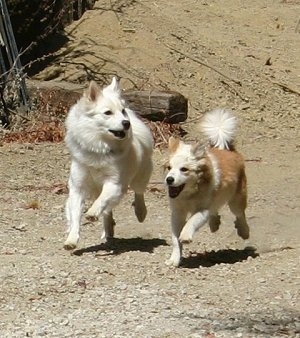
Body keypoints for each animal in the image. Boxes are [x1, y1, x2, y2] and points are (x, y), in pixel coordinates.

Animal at [62, 78, 152, 250]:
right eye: (108, 113)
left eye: (122, 111)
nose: (126, 123)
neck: (98, 148)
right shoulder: (77, 187)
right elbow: (76, 216)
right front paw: (71, 239)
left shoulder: (114, 183)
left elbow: (102, 200)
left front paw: (92, 212)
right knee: (107, 212)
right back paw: (108, 228)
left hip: (139, 176)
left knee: (139, 192)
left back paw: (140, 211)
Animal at [164, 108, 248, 266]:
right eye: (169, 168)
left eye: (184, 169)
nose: (169, 180)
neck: (189, 194)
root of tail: (227, 149)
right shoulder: (177, 212)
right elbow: (174, 238)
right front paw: (174, 259)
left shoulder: (203, 210)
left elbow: (192, 221)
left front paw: (185, 235)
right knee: (216, 211)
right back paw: (215, 224)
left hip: (236, 199)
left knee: (240, 214)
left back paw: (244, 231)